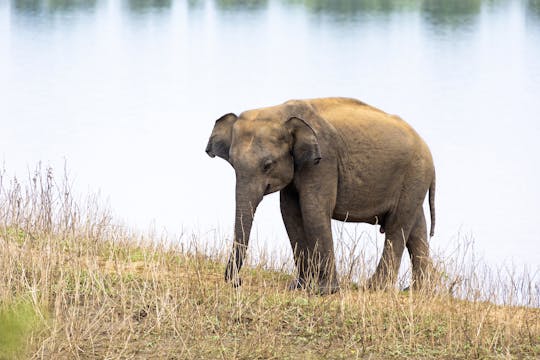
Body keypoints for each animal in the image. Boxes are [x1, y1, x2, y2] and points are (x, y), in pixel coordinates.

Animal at [205, 97, 436, 294]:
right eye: (233, 164)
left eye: (267, 165)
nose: (237, 282)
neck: (281, 111)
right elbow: (290, 213)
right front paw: (300, 287)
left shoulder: (323, 159)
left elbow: (313, 209)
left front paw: (325, 291)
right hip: (414, 180)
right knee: (416, 227)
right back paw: (417, 292)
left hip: (415, 175)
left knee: (398, 225)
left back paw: (375, 288)